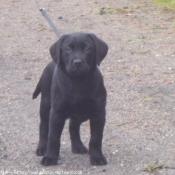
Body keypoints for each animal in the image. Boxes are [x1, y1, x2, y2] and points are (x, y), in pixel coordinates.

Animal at [32, 32, 107, 165]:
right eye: (68, 49)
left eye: (87, 49)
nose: (77, 62)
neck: (78, 81)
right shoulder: (56, 113)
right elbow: (53, 138)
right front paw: (50, 157)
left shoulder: (99, 113)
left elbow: (96, 138)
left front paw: (97, 157)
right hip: (46, 104)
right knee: (44, 126)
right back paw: (42, 148)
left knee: (73, 127)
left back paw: (78, 146)